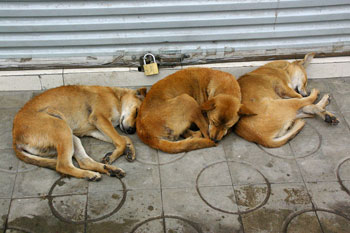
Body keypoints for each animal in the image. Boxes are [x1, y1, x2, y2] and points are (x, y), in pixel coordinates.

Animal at [11, 85, 146, 180]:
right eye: (137, 112)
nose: (132, 131)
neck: (117, 97)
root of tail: (15, 138)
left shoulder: (94, 130)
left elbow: (123, 138)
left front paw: (130, 151)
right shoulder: (100, 119)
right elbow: (120, 140)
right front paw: (113, 156)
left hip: (72, 137)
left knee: (84, 162)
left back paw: (110, 170)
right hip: (62, 128)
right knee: (62, 165)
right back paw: (91, 174)